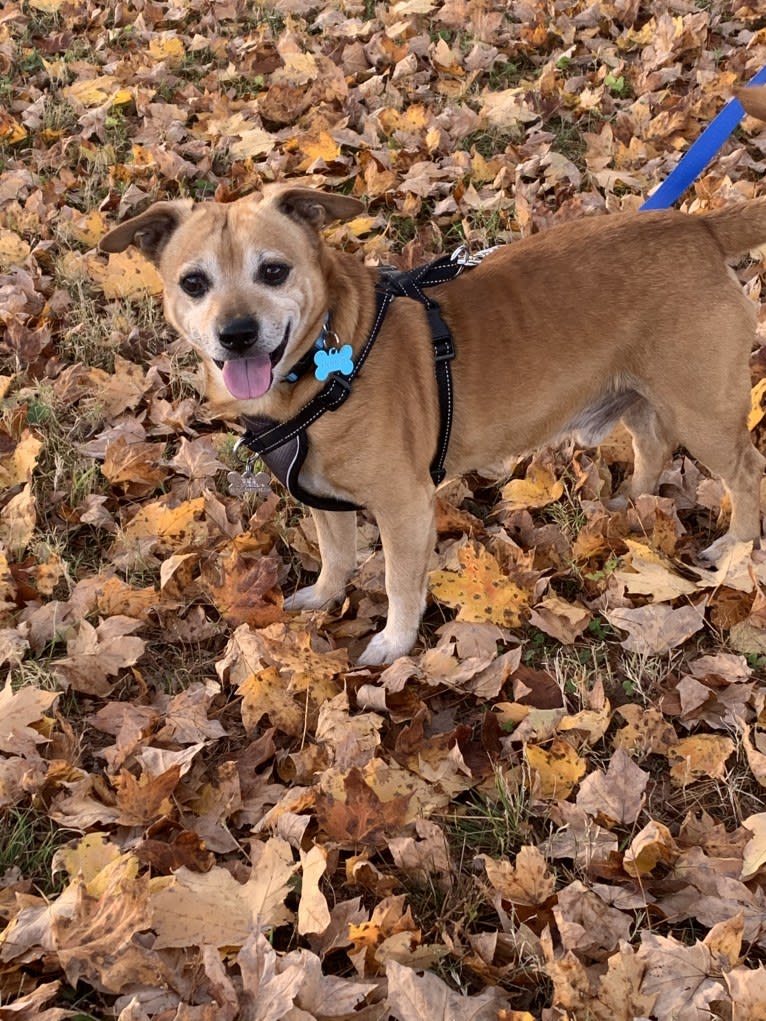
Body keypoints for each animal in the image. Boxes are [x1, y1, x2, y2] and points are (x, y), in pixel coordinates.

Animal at [102, 187, 766, 665]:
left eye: (273, 271)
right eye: (193, 283)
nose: (236, 333)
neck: (322, 364)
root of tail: (696, 226)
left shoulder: (405, 507)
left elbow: (400, 583)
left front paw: (394, 645)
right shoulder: (322, 500)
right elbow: (335, 555)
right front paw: (324, 597)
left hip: (702, 408)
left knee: (745, 471)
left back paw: (735, 546)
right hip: (636, 394)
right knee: (652, 445)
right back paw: (634, 502)